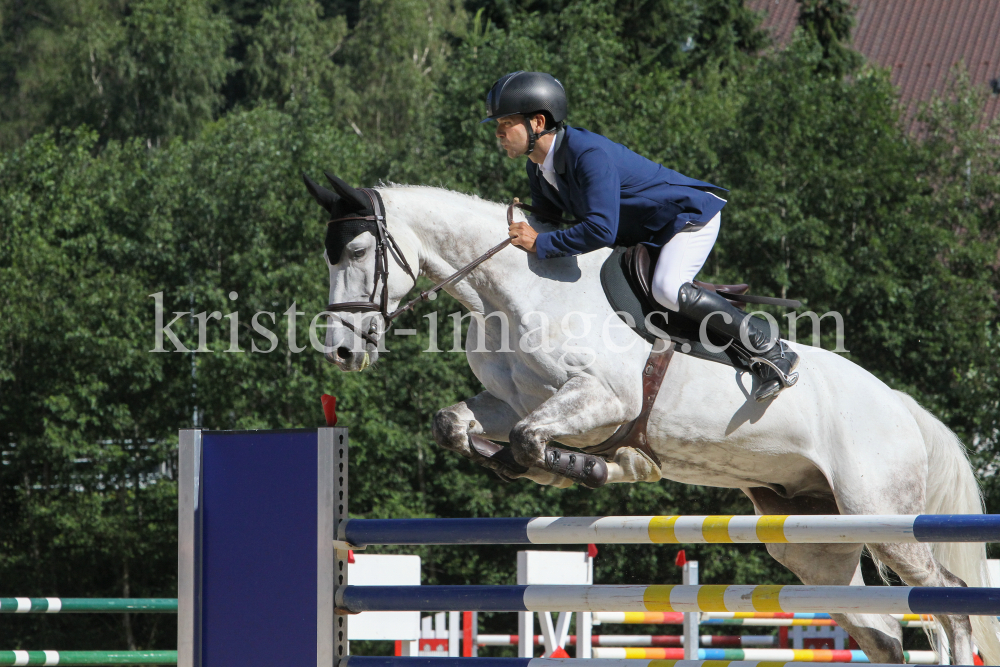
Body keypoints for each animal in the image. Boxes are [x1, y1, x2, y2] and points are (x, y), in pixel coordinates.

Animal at [308, 179, 996, 667]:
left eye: (359, 251)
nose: (341, 351)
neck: (512, 291)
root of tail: (901, 404)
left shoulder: (602, 400)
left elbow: (535, 440)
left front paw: (592, 467)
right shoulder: (508, 402)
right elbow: (456, 425)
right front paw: (550, 467)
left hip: (883, 516)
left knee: (952, 607)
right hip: (814, 541)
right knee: (883, 634)